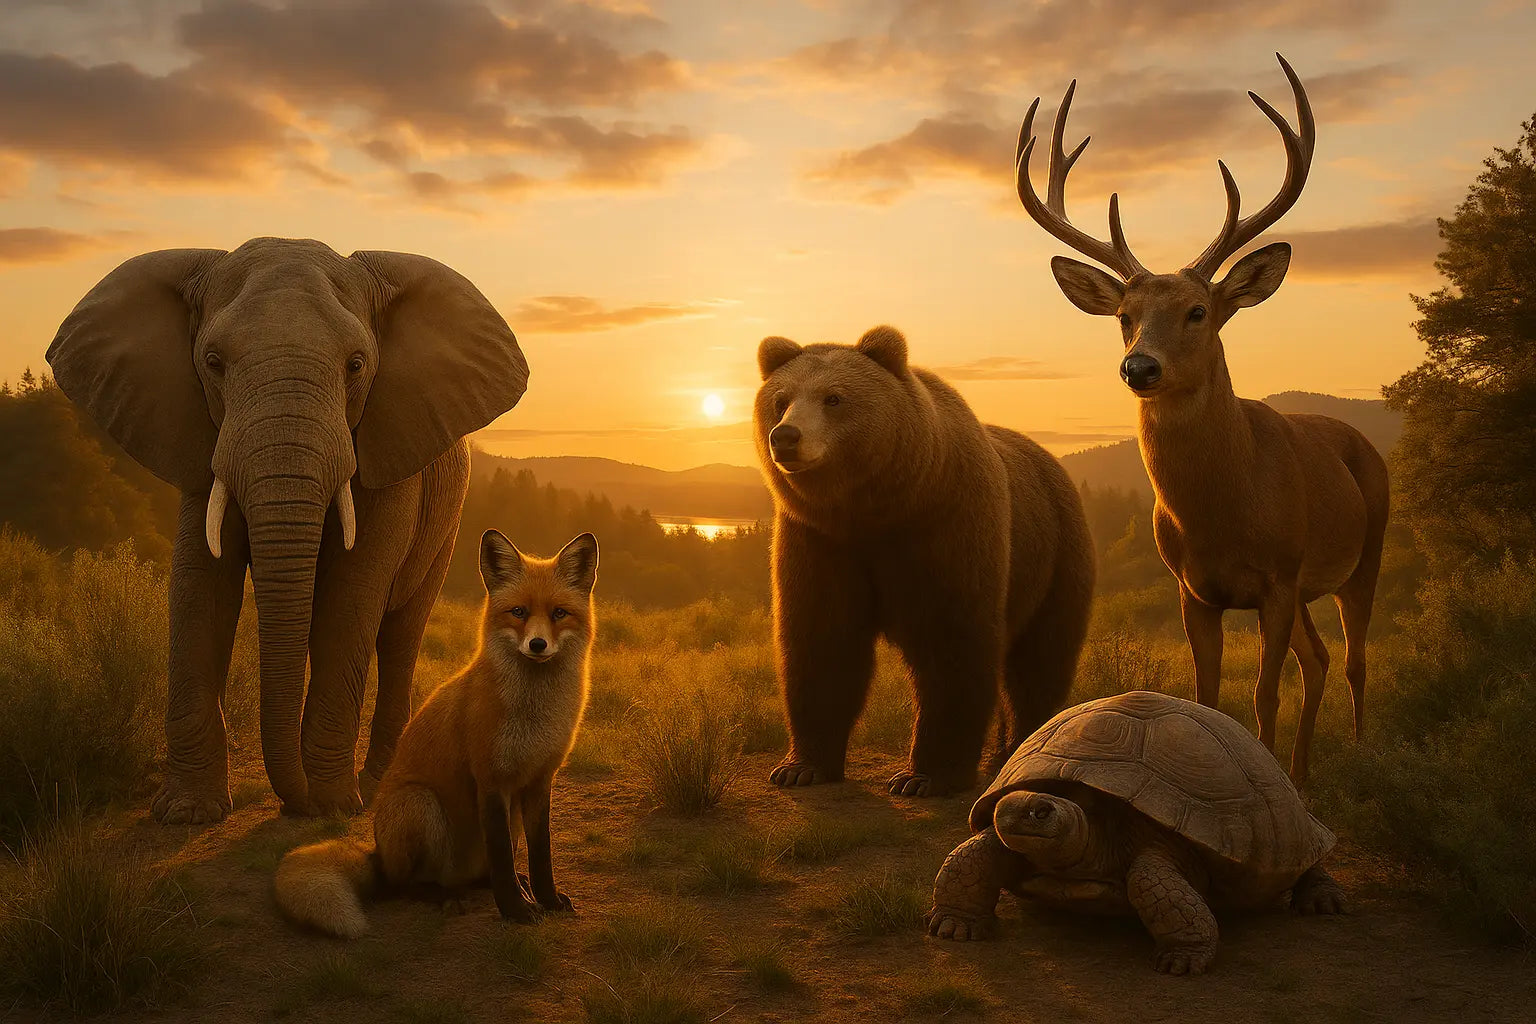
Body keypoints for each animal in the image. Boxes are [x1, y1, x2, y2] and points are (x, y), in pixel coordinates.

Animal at [46, 237, 529, 824]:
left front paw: (332, 806)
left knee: (400, 635)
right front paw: (186, 812)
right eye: (212, 363)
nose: (296, 805)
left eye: (356, 365)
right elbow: (199, 586)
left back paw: (378, 785)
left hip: (447, 522)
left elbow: (351, 593)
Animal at [754, 325, 1095, 797]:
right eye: (780, 399)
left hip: (1055, 556)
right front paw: (800, 767)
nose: (786, 436)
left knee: (1039, 660)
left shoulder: (945, 527)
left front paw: (924, 776)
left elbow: (950, 643)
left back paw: (1021, 749)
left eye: (834, 398)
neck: (876, 509)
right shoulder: (820, 540)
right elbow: (822, 639)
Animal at [1013, 54, 1390, 783]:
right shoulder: (1194, 589)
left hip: (1367, 553)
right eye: (1124, 316)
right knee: (1320, 659)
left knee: (1355, 660)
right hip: (1310, 589)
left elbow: (1264, 694)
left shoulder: (1278, 577)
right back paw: (1304, 773)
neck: (1224, 513)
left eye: (1198, 311)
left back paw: (1363, 755)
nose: (1139, 367)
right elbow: (1207, 694)